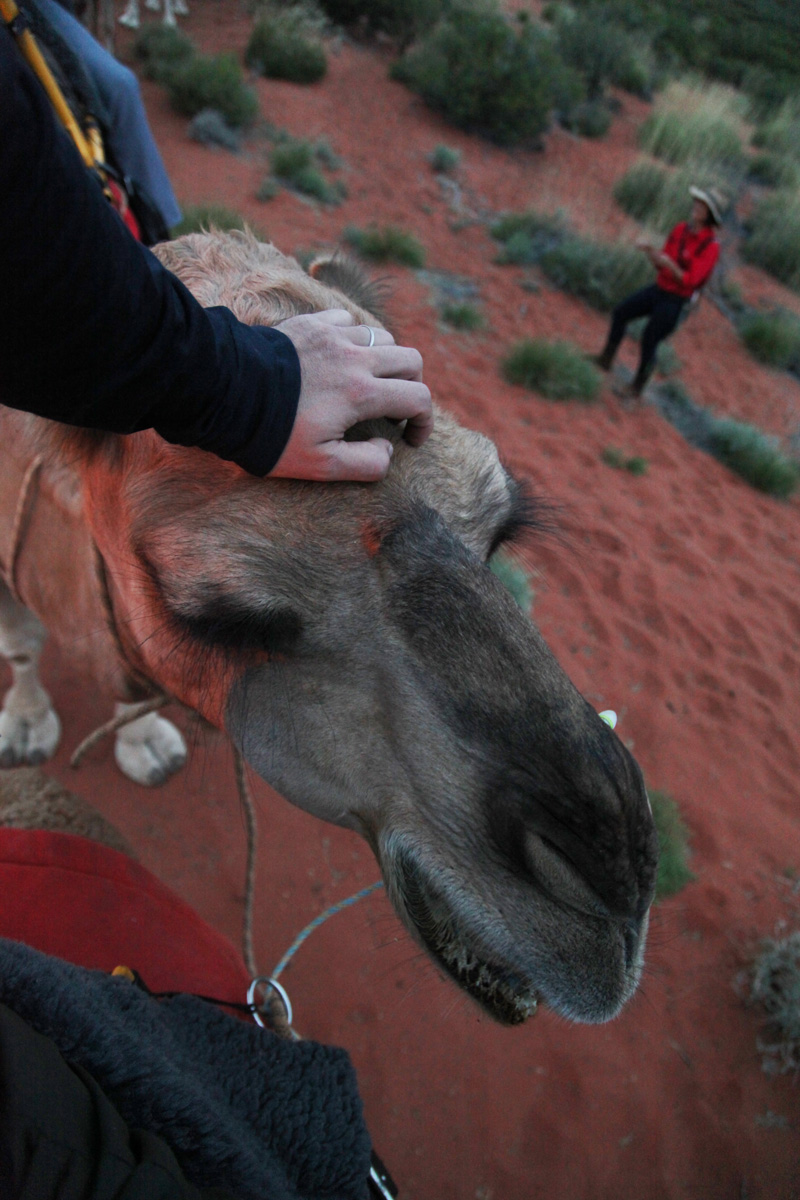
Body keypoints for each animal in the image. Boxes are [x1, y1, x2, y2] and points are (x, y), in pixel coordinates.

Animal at [0, 231, 657, 1022]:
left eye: (498, 532)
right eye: (221, 615)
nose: (610, 894)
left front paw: (142, 739)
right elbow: (25, 642)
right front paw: (30, 727)